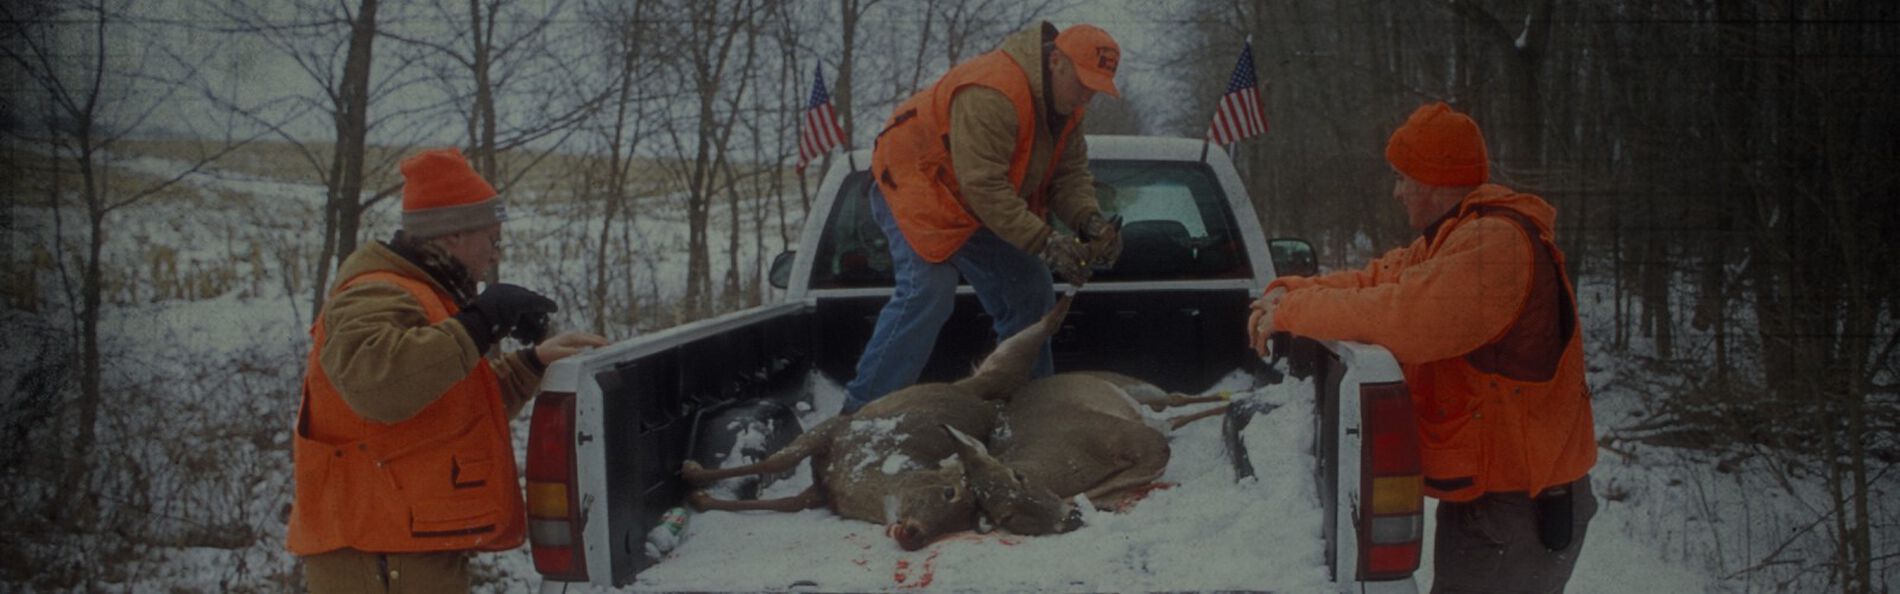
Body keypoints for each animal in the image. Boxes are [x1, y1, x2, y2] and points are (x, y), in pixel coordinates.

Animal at [680, 294, 1071, 546]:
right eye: (950, 493)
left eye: (964, 521)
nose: (914, 535)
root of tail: (986, 403)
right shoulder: (838, 430)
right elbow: (778, 462)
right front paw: (692, 473)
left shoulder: (824, 491)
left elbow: (786, 502)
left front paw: (700, 497)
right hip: (985, 376)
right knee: (1019, 343)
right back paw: (1065, 294)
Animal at [950, 370, 1231, 531]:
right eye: (1006, 517)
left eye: (1018, 476)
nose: (1070, 519)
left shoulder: (1131, 437)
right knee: (1174, 415)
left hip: (1136, 388)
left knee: (1175, 398)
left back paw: (1233, 395)